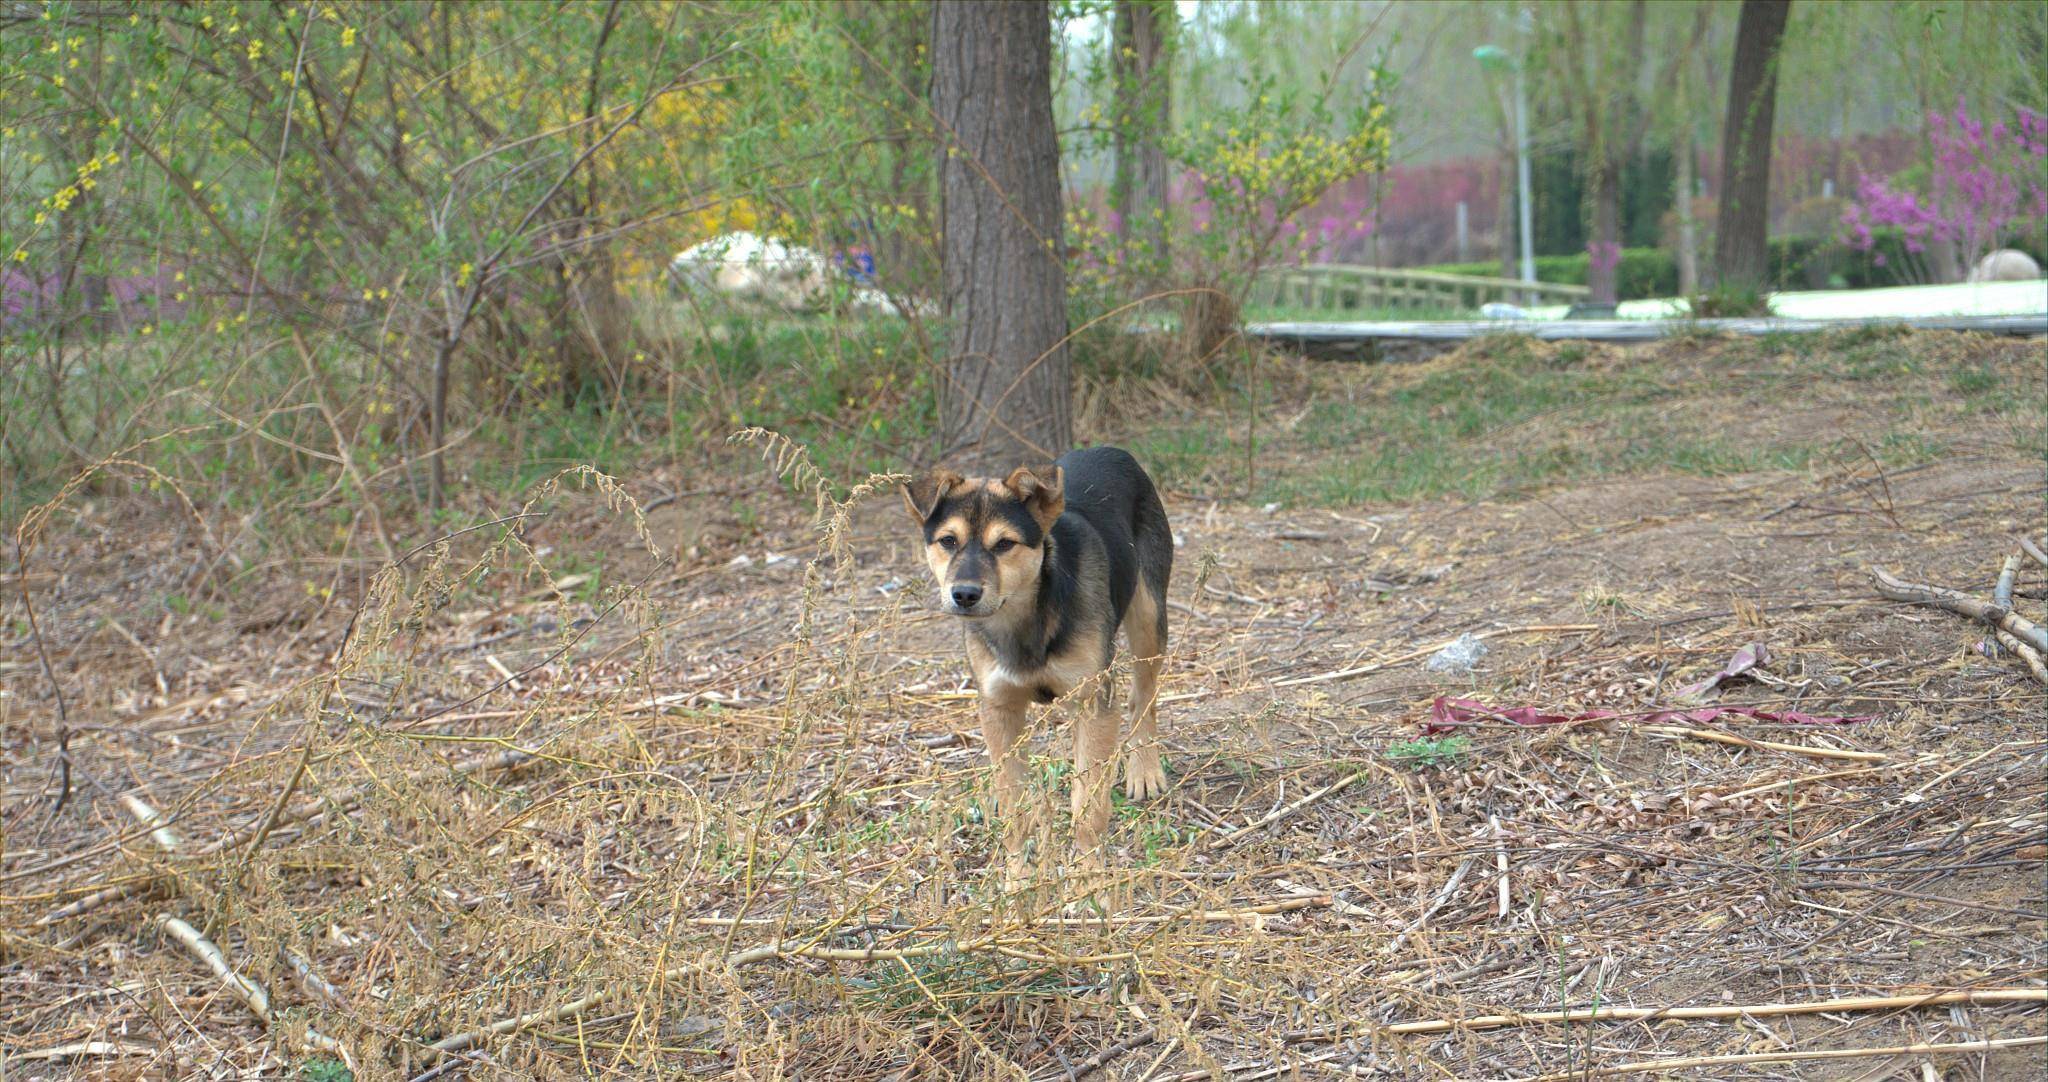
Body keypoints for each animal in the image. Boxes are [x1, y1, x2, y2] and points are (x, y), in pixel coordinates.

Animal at [905, 444, 1179, 872]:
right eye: (948, 541)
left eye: (1005, 544)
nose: (964, 594)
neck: (1027, 619)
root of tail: (1111, 449)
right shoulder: (998, 709)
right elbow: (1015, 812)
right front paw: (1016, 879)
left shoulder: (1093, 700)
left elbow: (1088, 810)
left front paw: (1089, 879)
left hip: (1148, 617)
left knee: (1143, 697)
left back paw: (1145, 769)